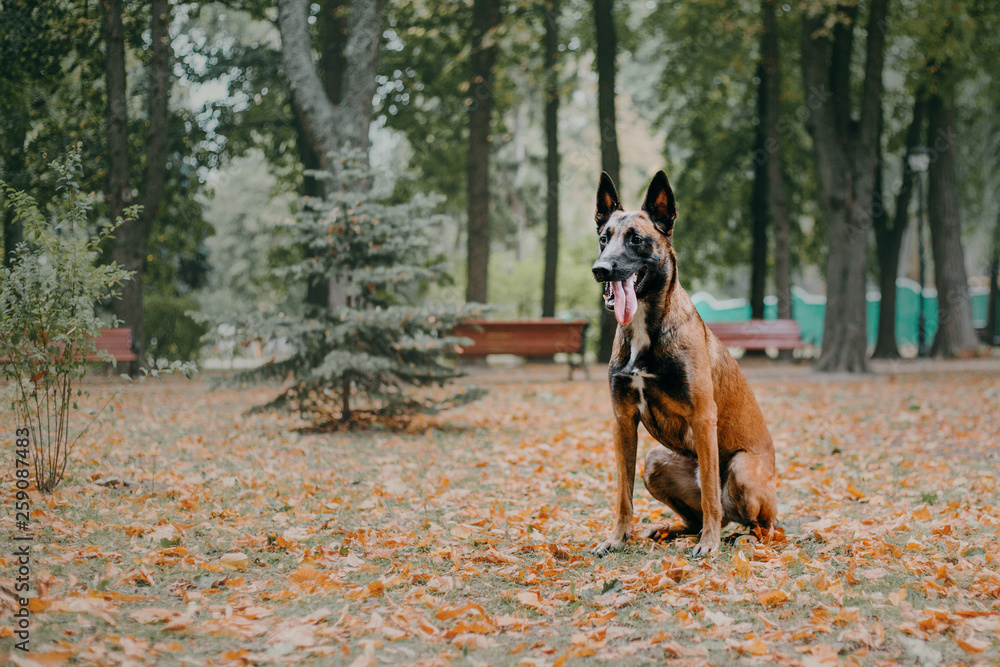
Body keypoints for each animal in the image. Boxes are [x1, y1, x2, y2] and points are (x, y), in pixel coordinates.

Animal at [588, 170, 776, 556]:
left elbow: (710, 495)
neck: (646, 329)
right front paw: (616, 538)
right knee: (694, 518)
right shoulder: (622, 421)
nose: (600, 270)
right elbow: (623, 494)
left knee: (760, 525)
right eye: (603, 239)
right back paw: (668, 529)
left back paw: (738, 535)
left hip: (742, 467)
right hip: (654, 461)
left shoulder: (704, 417)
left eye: (637, 240)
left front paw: (709, 544)